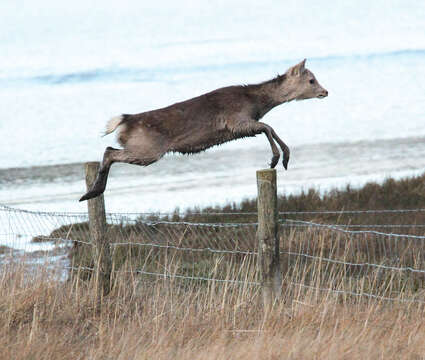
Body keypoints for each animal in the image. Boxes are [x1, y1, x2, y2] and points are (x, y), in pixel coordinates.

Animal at [79, 57, 328, 201]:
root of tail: (124, 122)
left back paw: (91, 192)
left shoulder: (241, 127)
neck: (256, 104)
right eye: (311, 80)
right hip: (148, 150)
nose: (325, 92)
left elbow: (269, 128)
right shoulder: (235, 120)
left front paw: (282, 158)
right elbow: (269, 127)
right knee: (109, 151)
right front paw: (278, 159)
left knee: (109, 149)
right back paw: (92, 192)